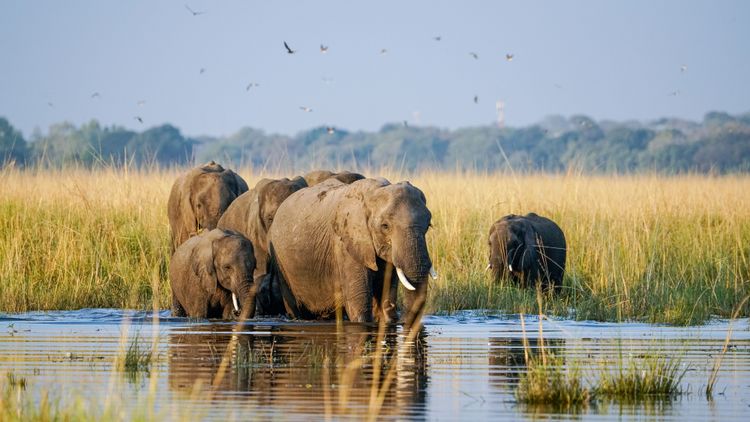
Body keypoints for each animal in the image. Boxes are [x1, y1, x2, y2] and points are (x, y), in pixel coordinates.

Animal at [268, 176, 438, 324]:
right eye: (385, 226)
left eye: (428, 225)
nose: (401, 321)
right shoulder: (344, 244)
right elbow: (360, 307)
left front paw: (387, 318)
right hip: (281, 262)